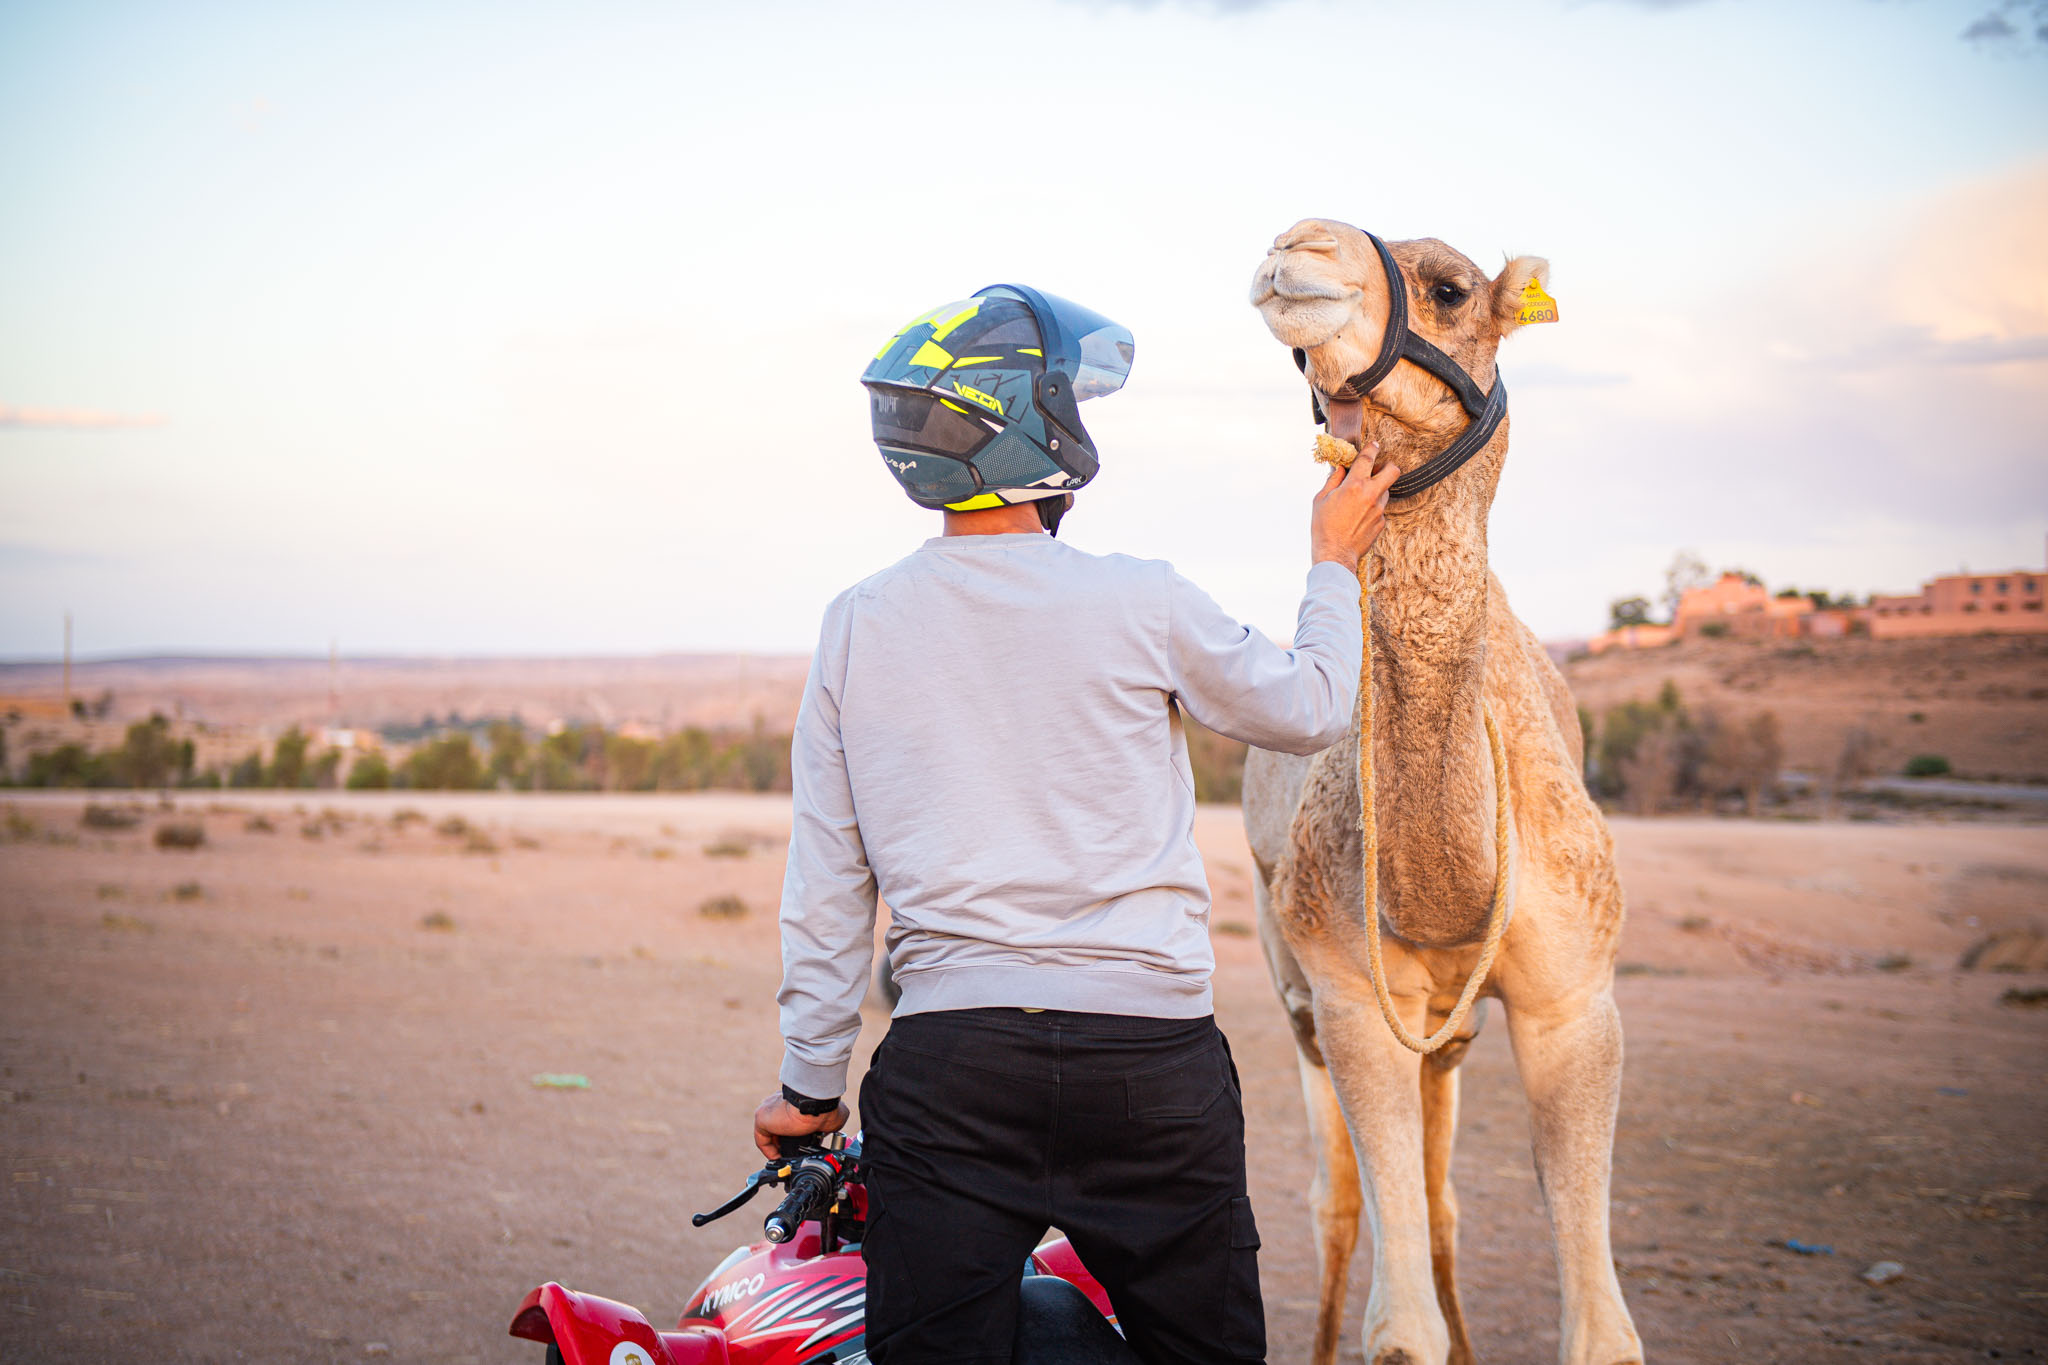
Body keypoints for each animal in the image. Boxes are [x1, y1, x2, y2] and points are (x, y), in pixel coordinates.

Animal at [1236, 222, 1638, 1365]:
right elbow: (1397, 1324)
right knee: (1338, 1205)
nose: (1294, 246)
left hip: (1449, 1040)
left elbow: (1601, 1331)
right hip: (1297, 994)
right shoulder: (1349, 997)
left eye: (1451, 289)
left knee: (1442, 1195)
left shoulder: (1573, 1002)